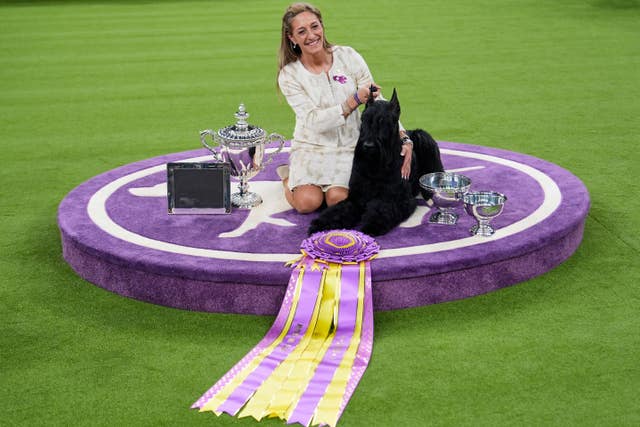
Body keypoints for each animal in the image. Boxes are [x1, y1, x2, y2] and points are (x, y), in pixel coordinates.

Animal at [310, 90, 444, 237]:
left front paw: (371, 225)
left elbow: (382, 210)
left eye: (384, 121)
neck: (376, 166)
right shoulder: (356, 197)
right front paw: (321, 223)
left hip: (423, 137)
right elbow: (339, 210)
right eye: (364, 119)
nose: (368, 146)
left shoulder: (396, 199)